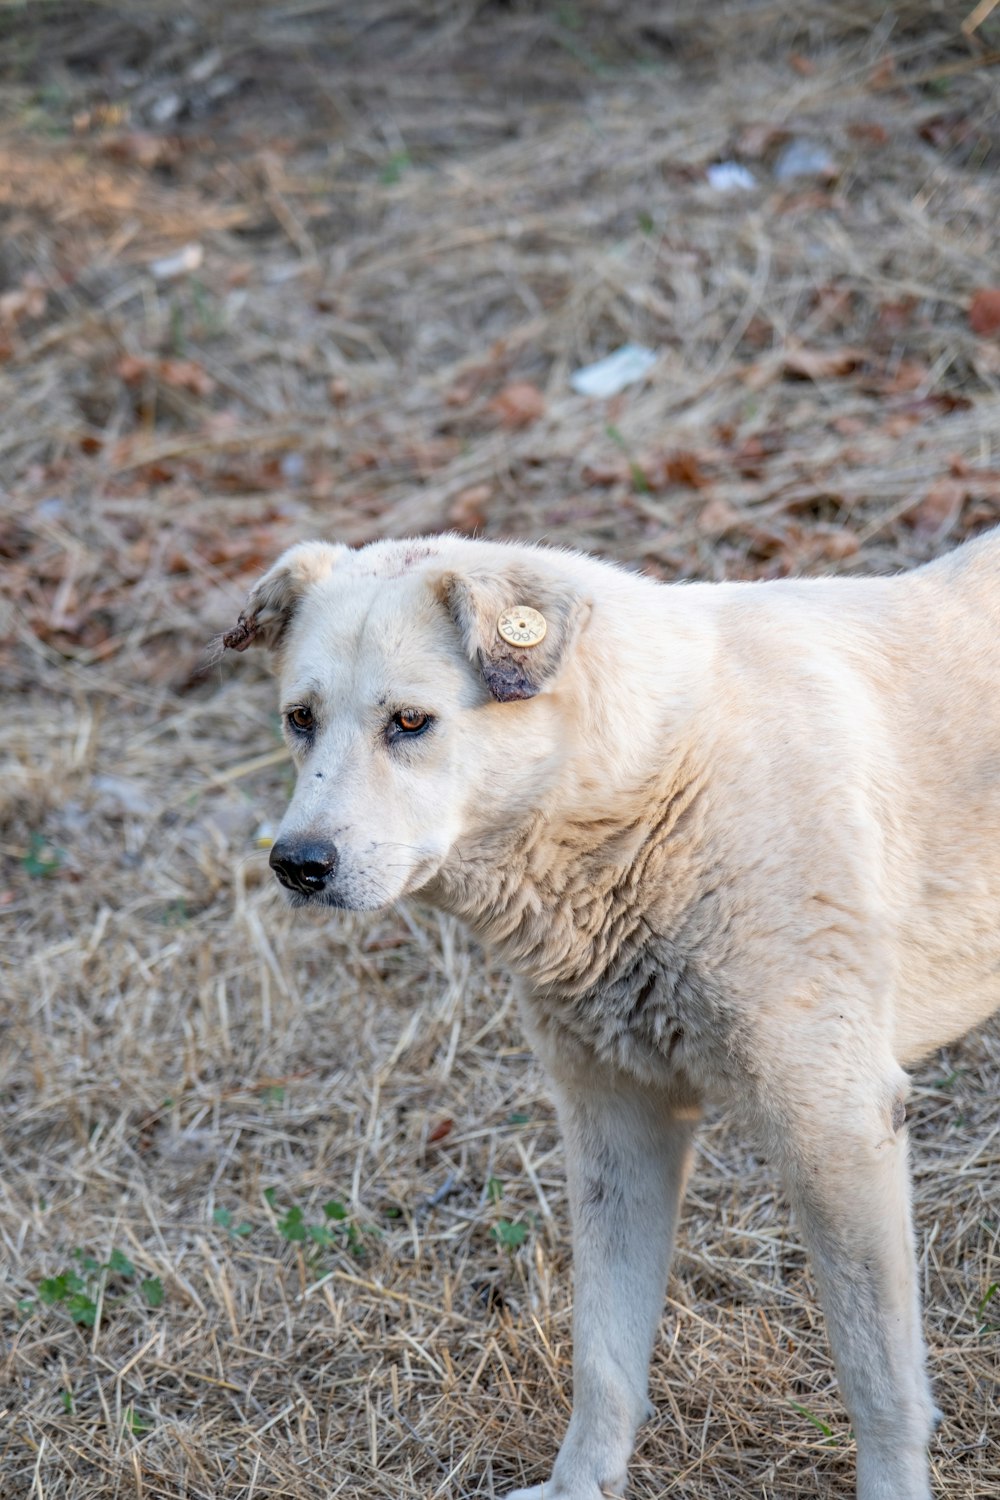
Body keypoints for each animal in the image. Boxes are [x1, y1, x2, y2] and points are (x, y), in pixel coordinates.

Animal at [224, 534, 1000, 1500]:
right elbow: (603, 1354)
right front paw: (579, 1487)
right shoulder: (618, 1124)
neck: (650, 784)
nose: (295, 864)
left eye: (408, 722)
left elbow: (877, 1376)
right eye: (300, 719)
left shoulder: (838, 1126)